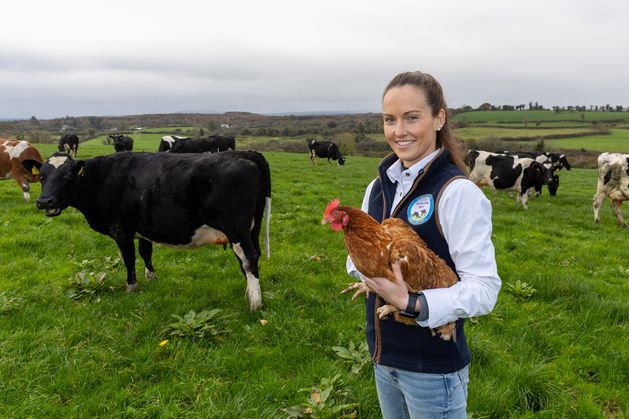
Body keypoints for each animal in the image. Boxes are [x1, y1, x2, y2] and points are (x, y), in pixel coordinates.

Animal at [21, 149, 272, 310]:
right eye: (41, 176)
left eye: (67, 176)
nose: (45, 201)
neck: (102, 178)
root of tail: (247, 153)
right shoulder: (143, 226)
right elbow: (145, 252)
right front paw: (151, 277)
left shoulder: (121, 229)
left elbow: (129, 258)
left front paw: (131, 286)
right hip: (251, 228)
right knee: (248, 259)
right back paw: (249, 292)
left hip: (236, 228)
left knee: (249, 257)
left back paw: (255, 303)